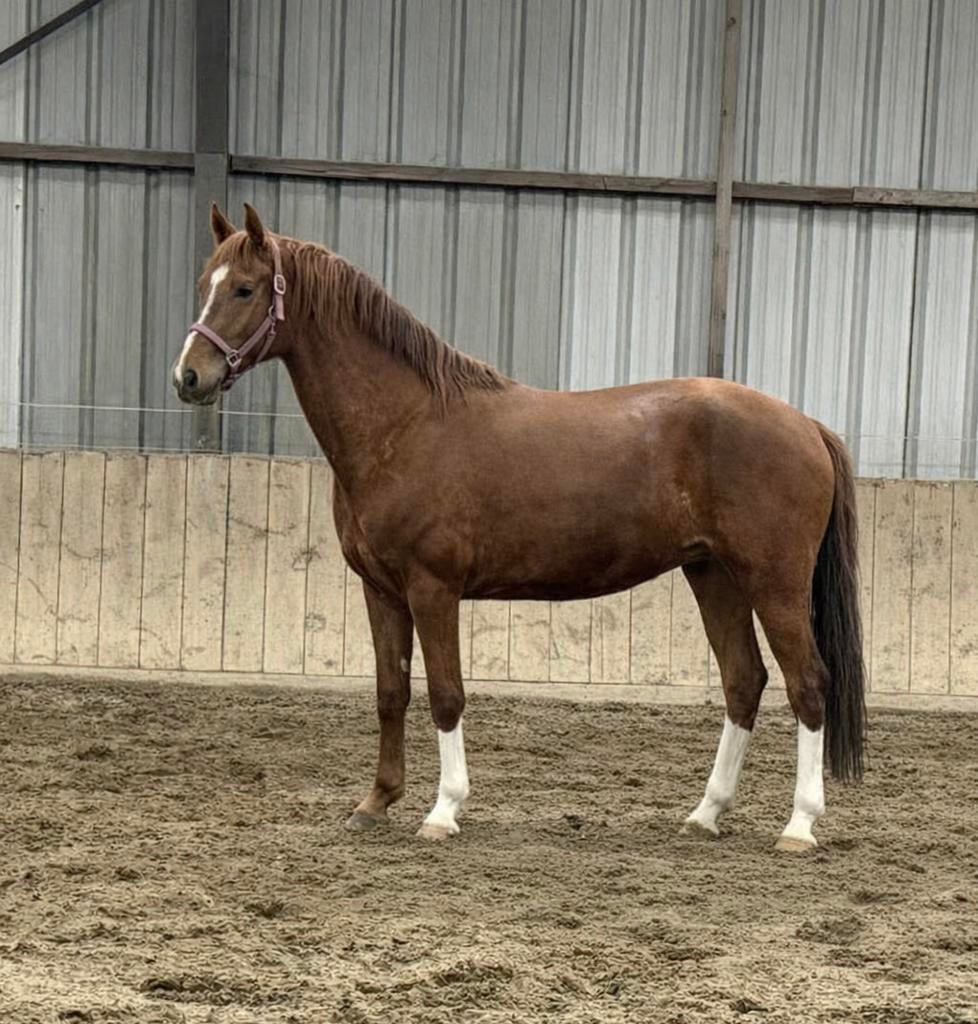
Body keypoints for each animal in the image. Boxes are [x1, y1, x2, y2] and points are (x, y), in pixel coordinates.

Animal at [172, 202, 866, 853]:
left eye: (245, 289)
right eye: (205, 282)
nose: (188, 377)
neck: (406, 424)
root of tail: (807, 425)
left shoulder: (433, 588)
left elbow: (445, 694)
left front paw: (443, 811)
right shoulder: (381, 589)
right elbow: (391, 692)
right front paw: (375, 803)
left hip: (773, 582)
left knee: (808, 684)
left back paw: (799, 825)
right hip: (712, 575)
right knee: (744, 681)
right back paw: (706, 814)